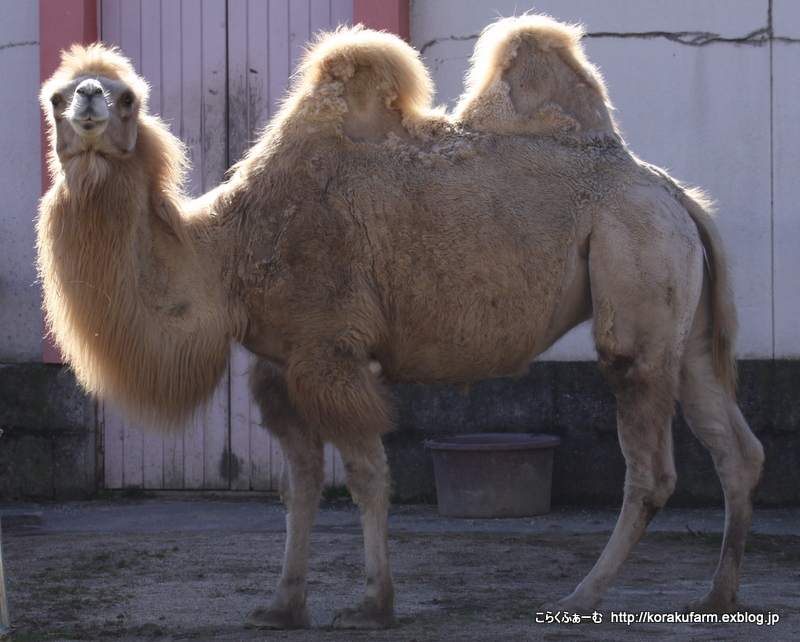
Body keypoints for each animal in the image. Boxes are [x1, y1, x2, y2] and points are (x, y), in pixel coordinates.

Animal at [37, 16, 764, 632]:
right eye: (56, 96)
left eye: (129, 98)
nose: (90, 101)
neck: (227, 257)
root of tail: (676, 195)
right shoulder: (280, 364)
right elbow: (299, 484)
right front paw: (282, 606)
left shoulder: (331, 350)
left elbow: (367, 477)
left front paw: (372, 605)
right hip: (684, 323)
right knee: (736, 447)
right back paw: (718, 595)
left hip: (636, 274)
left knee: (651, 464)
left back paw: (581, 596)